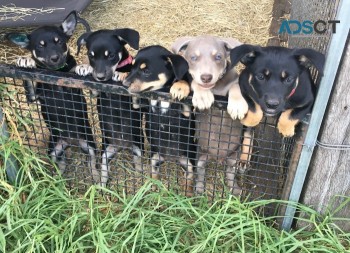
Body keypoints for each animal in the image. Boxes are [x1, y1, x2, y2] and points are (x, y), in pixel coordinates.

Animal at [6, 11, 100, 182]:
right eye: (40, 46)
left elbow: (79, 74)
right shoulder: (33, 96)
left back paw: (97, 178)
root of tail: (71, 142)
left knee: (91, 160)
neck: (56, 72)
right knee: (60, 161)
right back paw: (58, 177)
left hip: (89, 143)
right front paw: (25, 60)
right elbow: (29, 81)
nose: (55, 58)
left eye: (60, 42)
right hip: (53, 148)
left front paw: (84, 67)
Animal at [76, 28, 143, 188]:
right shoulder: (95, 92)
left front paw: (122, 75)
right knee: (104, 168)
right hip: (106, 151)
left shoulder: (135, 102)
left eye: (111, 55)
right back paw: (101, 184)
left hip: (138, 146)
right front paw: (84, 68)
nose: (100, 77)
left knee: (138, 161)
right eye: (90, 55)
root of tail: (122, 146)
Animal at [121, 45, 196, 196]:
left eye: (146, 71)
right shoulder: (138, 105)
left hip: (188, 162)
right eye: (131, 68)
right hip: (155, 159)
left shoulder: (187, 112)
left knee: (189, 180)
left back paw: (188, 195)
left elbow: (183, 81)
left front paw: (179, 87)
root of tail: (170, 158)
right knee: (155, 175)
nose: (125, 85)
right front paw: (123, 74)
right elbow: (135, 98)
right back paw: (154, 189)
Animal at [172, 35, 252, 194]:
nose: (206, 77)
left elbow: (235, 86)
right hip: (200, 157)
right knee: (201, 172)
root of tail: (218, 158)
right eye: (193, 58)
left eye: (218, 57)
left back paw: (237, 185)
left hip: (233, 157)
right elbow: (193, 83)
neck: (216, 87)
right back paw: (199, 189)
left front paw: (238, 105)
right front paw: (199, 94)